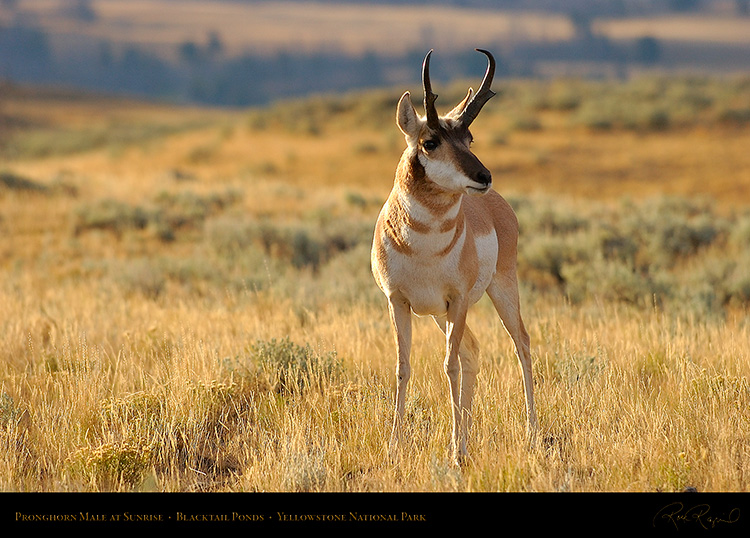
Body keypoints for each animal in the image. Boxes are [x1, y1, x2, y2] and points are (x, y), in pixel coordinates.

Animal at [372, 49, 536, 460]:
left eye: (469, 137)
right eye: (430, 141)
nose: (484, 176)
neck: (423, 245)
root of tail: (498, 204)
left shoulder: (457, 301)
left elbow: (449, 366)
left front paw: (453, 452)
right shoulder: (398, 301)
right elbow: (403, 366)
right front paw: (395, 446)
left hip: (498, 292)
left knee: (521, 344)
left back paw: (531, 434)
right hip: (437, 315)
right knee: (473, 351)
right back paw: (467, 436)